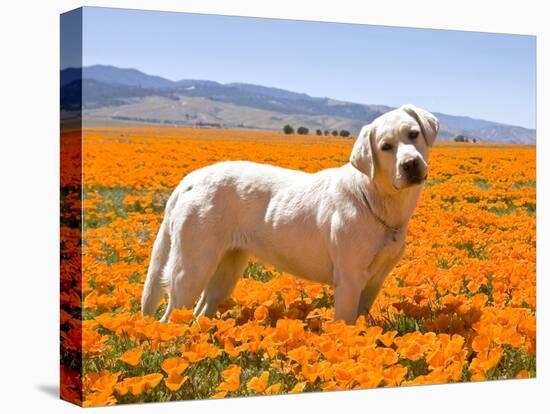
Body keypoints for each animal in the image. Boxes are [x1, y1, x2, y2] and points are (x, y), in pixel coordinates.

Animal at [141, 103, 440, 324]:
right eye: (385, 147)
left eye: (413, 134)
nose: (411, 164)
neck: (377, 199)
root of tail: (191, 178)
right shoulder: (349, 279)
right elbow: (345, 323)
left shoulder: (375, 280)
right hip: (191, 270)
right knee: (171, 316)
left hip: (225, 270)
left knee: (201, 310)